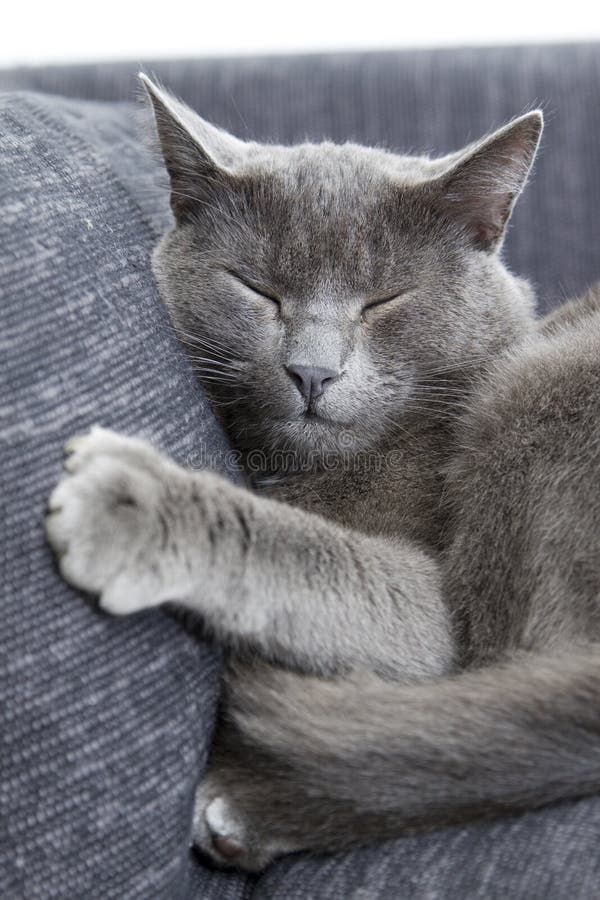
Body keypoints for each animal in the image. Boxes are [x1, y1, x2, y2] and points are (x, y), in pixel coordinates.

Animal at [48, 77, 600, 872]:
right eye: (257, 288)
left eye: (385, 300)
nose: (311, 371)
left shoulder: (433, 620)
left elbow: (309, 549)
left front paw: (132, 501)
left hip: (541, 389)